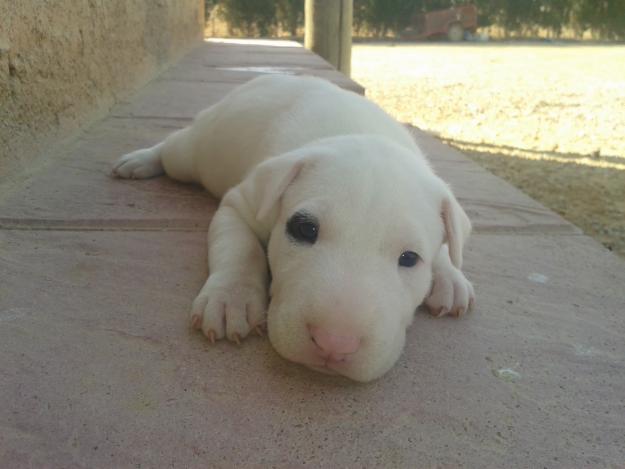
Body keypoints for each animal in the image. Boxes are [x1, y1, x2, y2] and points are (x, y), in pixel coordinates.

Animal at [112, 74, 472, 380]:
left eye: (410, 258)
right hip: (195, 152)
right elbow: (242, 250)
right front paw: (231, 299)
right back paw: (140, 161)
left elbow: (447, 245)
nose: (333, 343)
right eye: (304, 230)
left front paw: (450, 276)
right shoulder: (239, 204)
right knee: (173, 147)